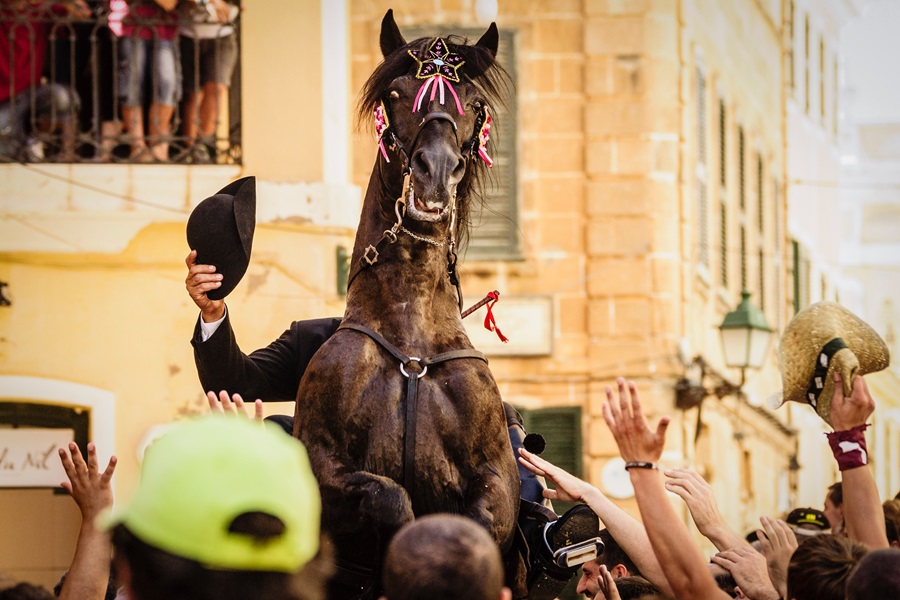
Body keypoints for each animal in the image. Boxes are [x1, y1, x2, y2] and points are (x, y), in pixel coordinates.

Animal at [294, 9, 520, 600]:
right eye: (395, 93)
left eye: (472, 102)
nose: (435, 172)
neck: (411, 335)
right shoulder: (321, 462)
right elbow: (392, 498)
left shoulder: (497, 478)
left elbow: (479, 522)